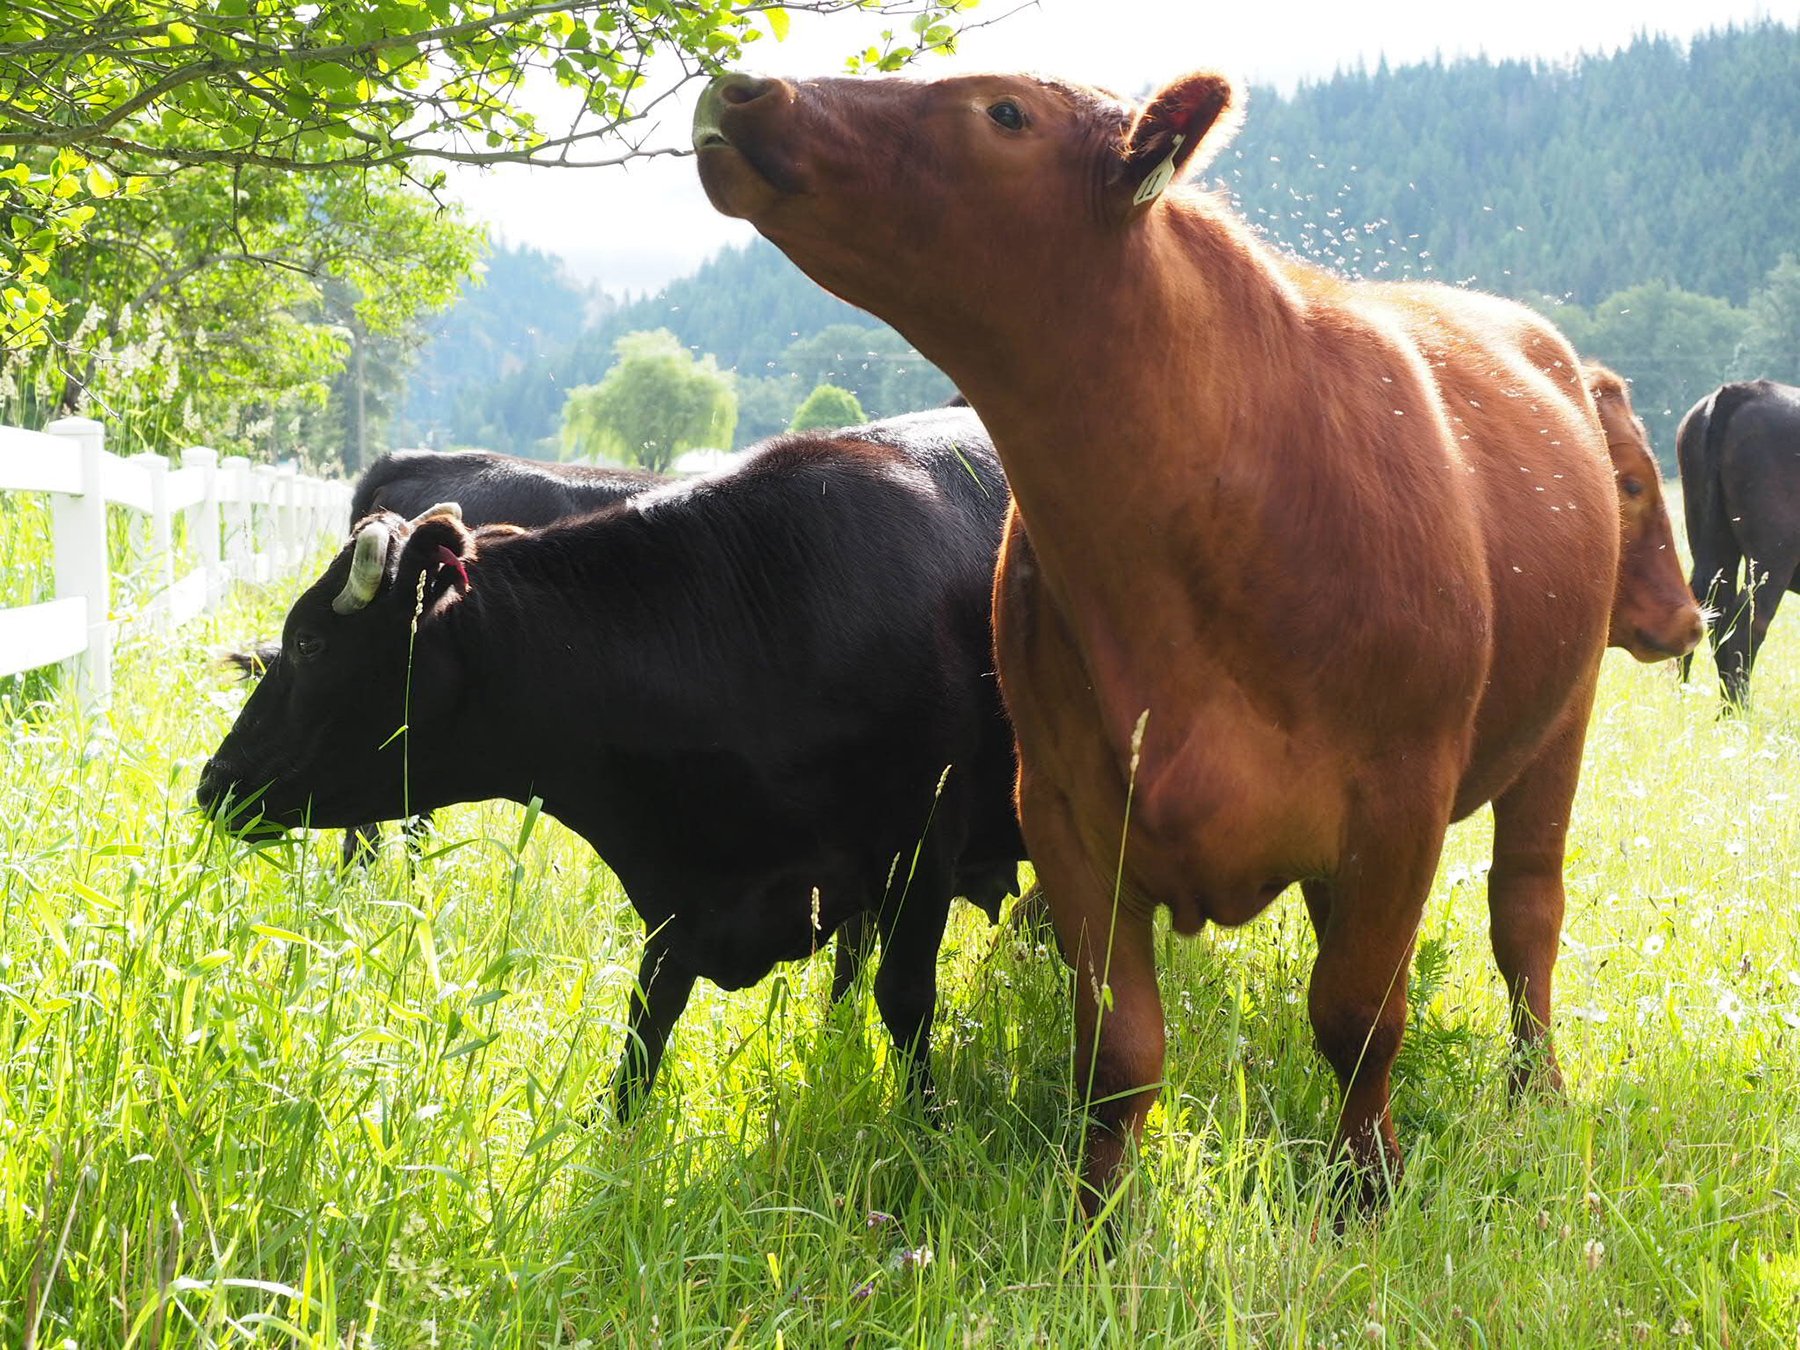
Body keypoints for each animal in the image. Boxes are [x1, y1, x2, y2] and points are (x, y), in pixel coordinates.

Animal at [198, 409, 1024, 1121]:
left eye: (308, 642)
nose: (214, 781)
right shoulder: (683, 900)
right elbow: (643, 1030)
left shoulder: (921, 847)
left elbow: (906, 997)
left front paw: (927, 1131)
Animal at [695, 67, 1621, 1217]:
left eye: (1005, 112)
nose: (743, 85)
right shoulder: (1062, 806)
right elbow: (1120, 1049)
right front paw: (1093, 1216)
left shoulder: (1401, 802)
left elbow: (1359, 1019)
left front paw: (1368, 1191)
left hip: (1561, 724)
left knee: (1523, 914)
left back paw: (1537, 1087)